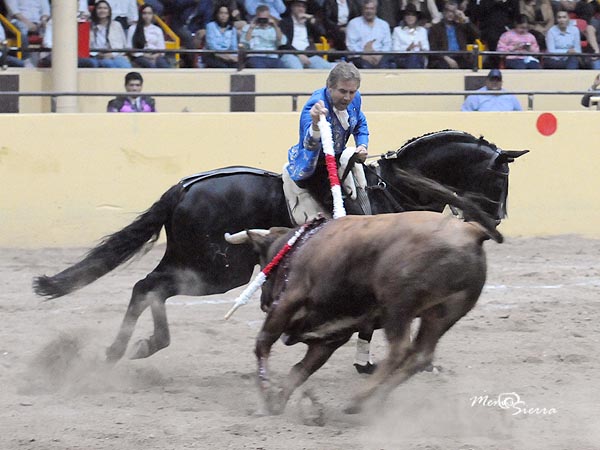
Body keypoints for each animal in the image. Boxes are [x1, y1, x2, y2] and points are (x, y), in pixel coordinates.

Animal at [34, 130, 524, 362]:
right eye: (500, 178)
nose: (498, 217)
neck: (393, 189)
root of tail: (187, 187)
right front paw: (365, 360)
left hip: (196, 263)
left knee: (145, 286)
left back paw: (129, 348)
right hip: (216, 271)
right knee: (151, 287)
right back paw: (132, 348)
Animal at [232, 206, 504, 414]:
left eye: (263, 261)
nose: (263, 302)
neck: (298, 247)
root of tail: (470, 231)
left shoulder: (288, 301)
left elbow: (263, 343)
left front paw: (267, 394)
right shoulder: (331, 337)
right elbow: (300, 369)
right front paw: (277, 402)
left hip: (397, 306)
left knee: (400, 350)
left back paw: (360, 399)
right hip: (443, 313)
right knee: (420, 356)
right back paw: (371, 400)